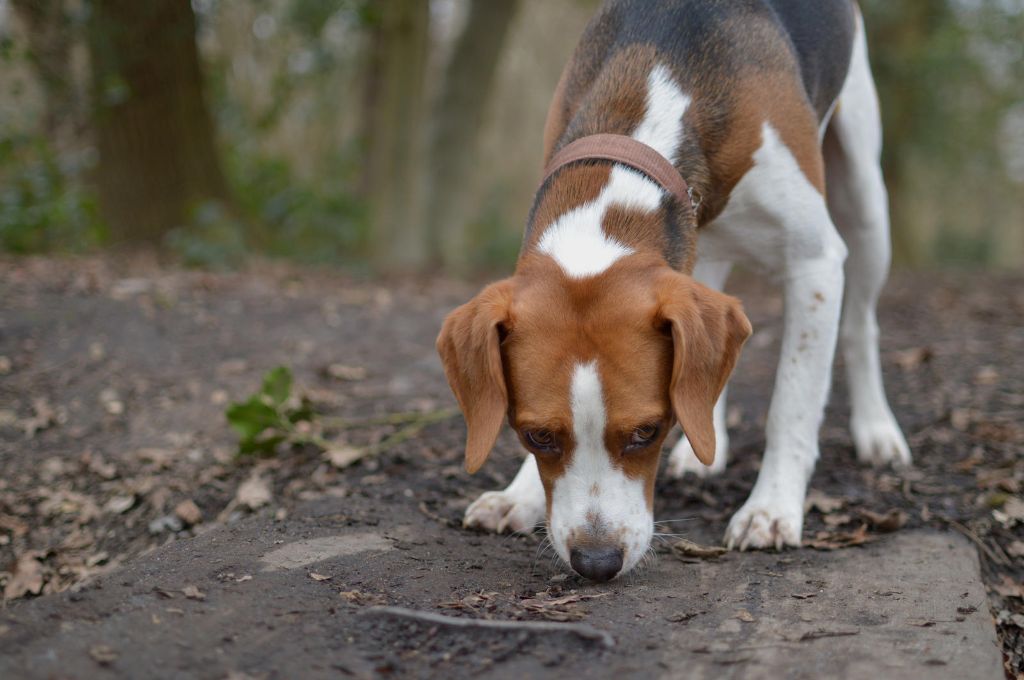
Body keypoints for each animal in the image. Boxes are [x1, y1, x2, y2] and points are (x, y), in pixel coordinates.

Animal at [436, 1, 909, 585]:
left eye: (647, 431)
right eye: (536, 436)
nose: (597, 563)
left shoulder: (814, 262)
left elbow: (791, 403)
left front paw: (771, 508)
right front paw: (519, 493)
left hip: (863, 199)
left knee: (861, 324)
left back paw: (877, 430)